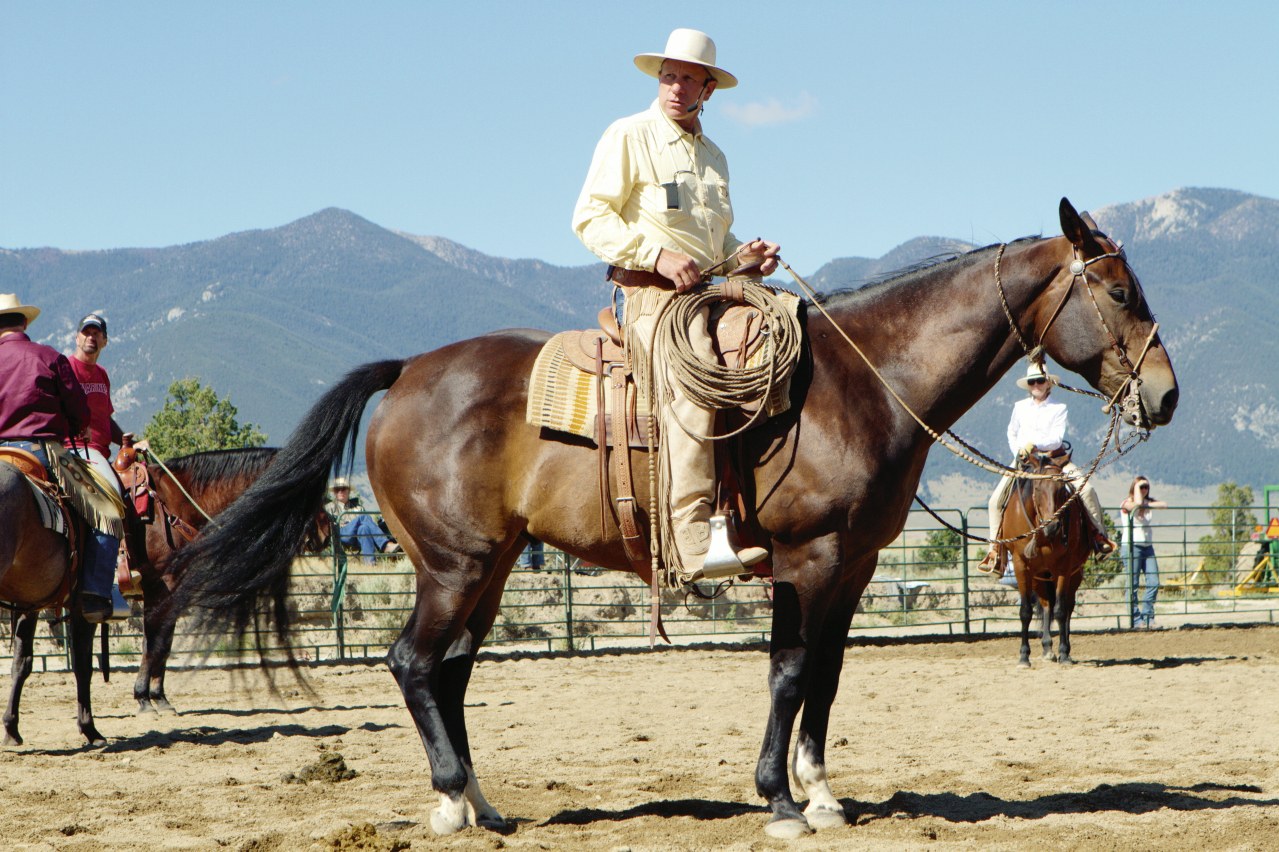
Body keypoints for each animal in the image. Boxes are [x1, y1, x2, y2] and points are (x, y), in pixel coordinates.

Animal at [997, 447, 1089, 665]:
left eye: (1062, 489)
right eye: (1037, 488)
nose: (1053, 525)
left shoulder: (1064, 567)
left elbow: (1061, 610)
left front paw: (1064, 653)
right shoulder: (1022, 566)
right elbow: (1025, 611)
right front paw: (1024, 656)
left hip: (1074, 574)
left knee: (1067, 606)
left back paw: (1065, 651)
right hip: (1040, 577)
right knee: (1046, 604)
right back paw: (1047, 648)